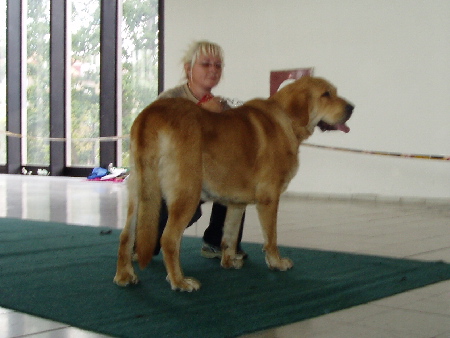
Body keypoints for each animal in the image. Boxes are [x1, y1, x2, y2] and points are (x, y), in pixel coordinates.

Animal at [114, 76, 354, 290]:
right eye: (326, 94)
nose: (352, 107)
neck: (287, 118)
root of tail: (151, 113)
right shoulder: (269, 198)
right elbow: (271, 238)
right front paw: (276, 263)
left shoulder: (236, 203)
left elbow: (229, 234)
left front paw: (228, 262)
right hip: (187, 194)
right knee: (168, 239)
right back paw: (180, 282)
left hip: (140, 194)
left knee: (126, 236)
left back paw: (124, 276)